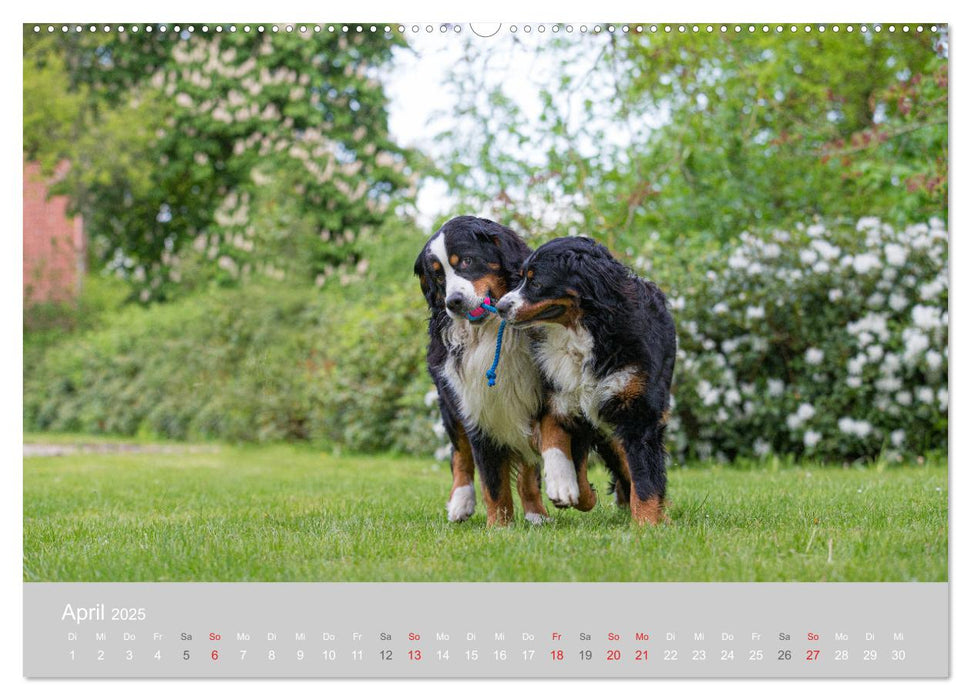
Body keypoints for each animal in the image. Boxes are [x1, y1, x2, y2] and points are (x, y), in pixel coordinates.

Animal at [416, 216, 584, 528]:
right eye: (438, 277)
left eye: (467, 261)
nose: (453, 302)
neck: (491, 333)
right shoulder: (476, 406)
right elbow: (491, 479)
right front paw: (500, 526)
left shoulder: (544, 391)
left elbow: (549, 440)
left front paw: (557, 486)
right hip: (450, 403)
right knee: (460, 454)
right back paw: (460, 502)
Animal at [498, 237, 680, 524]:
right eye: (520, 279)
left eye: (536, 282)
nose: (500, 306)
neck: (583, 334)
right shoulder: (561, 400)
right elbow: (563, 451)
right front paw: (571, 490)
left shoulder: (638, 415)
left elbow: (645, 479)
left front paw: (648, 524)